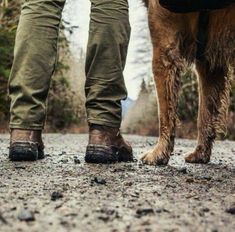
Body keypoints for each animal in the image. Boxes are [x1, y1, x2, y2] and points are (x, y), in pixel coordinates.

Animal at [140, 0, 234, 166]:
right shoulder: (209, 63)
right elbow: (204, 115)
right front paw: (200, 154)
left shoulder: (163, 46)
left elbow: (164, 114)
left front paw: (158, 154)